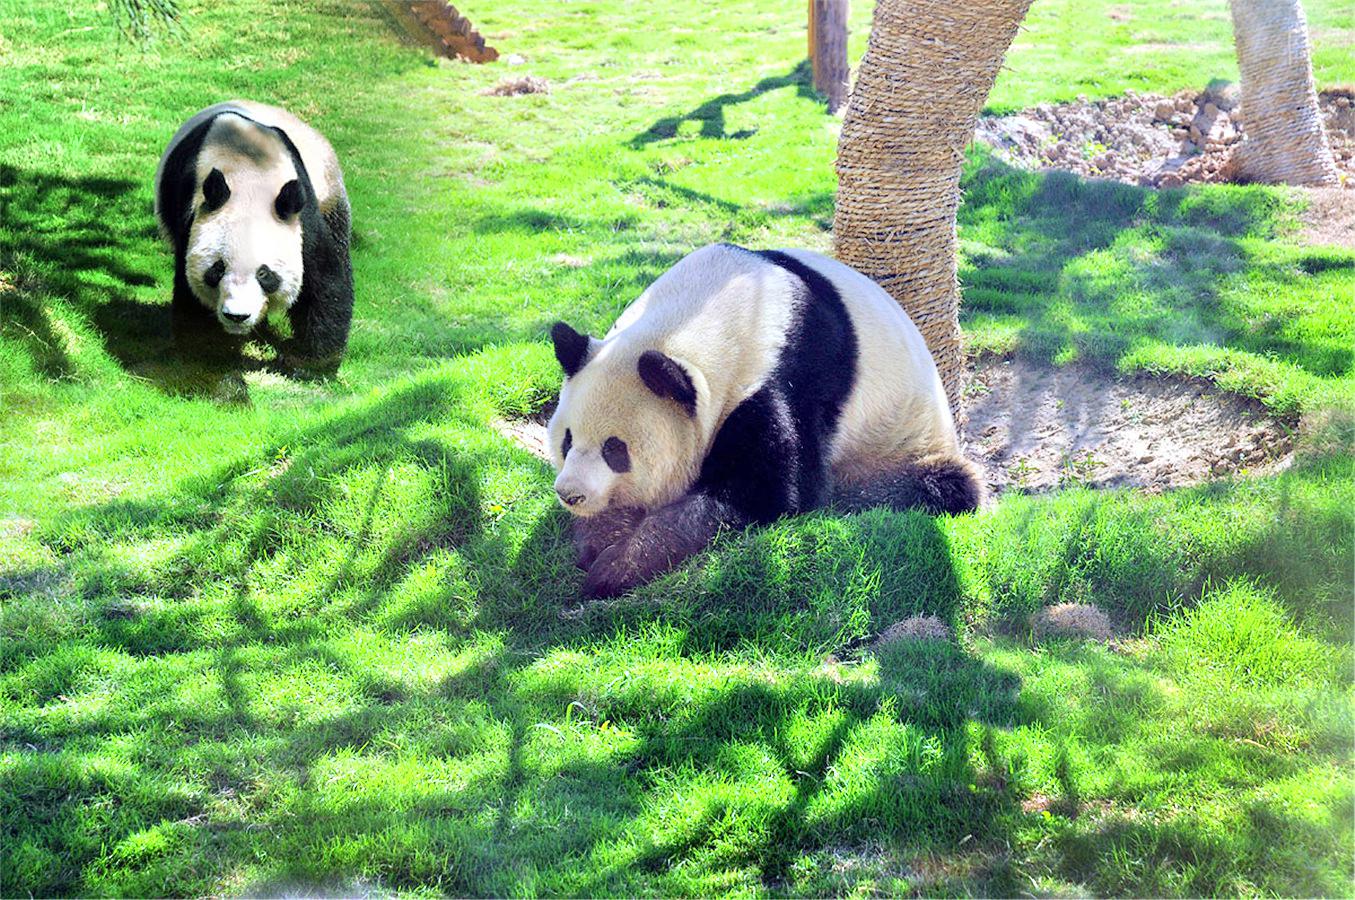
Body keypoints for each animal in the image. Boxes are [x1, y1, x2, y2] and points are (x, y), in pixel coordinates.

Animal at [155, 100, 355, 374]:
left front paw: (307, 361)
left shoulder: (301, 212)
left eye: (264, 273)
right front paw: (210, 359)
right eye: (217, 269)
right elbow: (190, 292)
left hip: (329, 189)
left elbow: (323, 277)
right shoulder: (189, 212)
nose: (237, 316)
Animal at [550, 242, 986, 601]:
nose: (570, 494)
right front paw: (602, 534)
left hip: (902, 440)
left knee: (941, 485)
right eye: (567, 441)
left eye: (615, 449)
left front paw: (616, 567)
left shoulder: (787, 375)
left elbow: (765, 495)